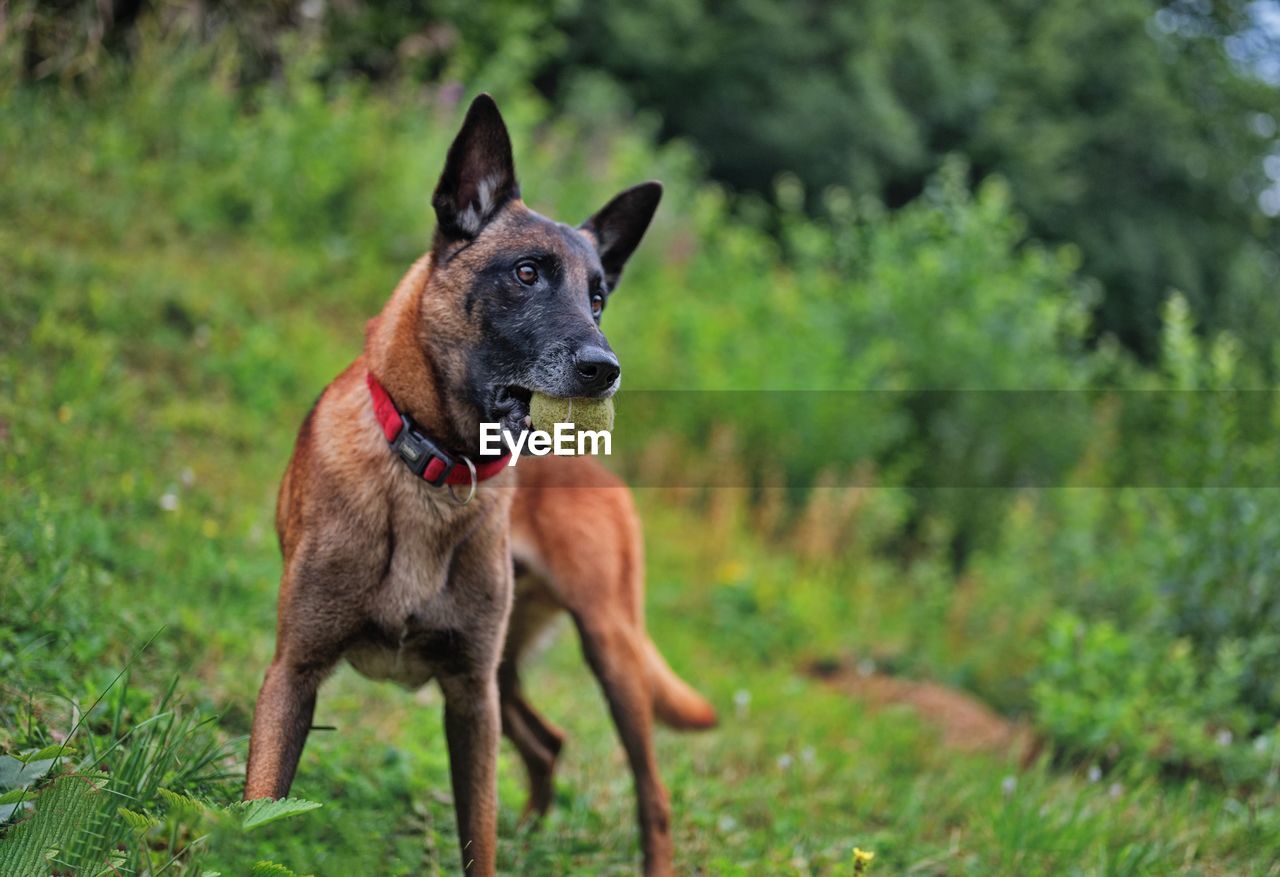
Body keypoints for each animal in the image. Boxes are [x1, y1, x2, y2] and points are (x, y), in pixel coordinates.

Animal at [244, 92, 716, 870]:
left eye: (598, 298)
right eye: (525, 274)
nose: (604, 369)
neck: (435, 469)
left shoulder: (469, 699)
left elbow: (479, 839)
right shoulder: (295, 673)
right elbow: (256, 809)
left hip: (608, 649)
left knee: (654, 795)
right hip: (514, 671)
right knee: (549, 743)